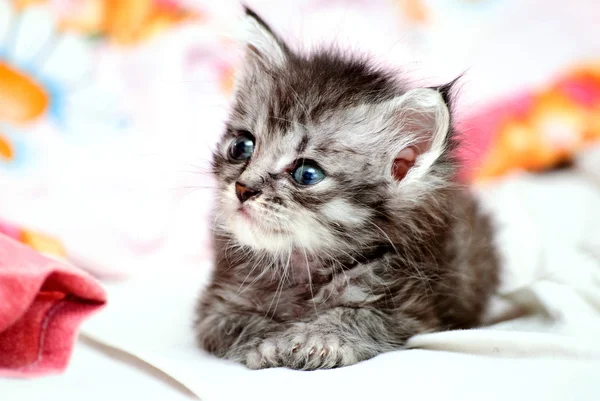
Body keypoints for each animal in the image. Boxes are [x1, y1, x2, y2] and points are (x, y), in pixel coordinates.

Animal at [195, 6, 500, 368]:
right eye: (241, 146)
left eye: (307, 174)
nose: (243, 188)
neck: (298, 265)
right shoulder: (214, 305)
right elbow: (239, 322)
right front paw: (268, 341)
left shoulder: (412, 312)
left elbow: (360, 316)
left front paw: (317, 337)